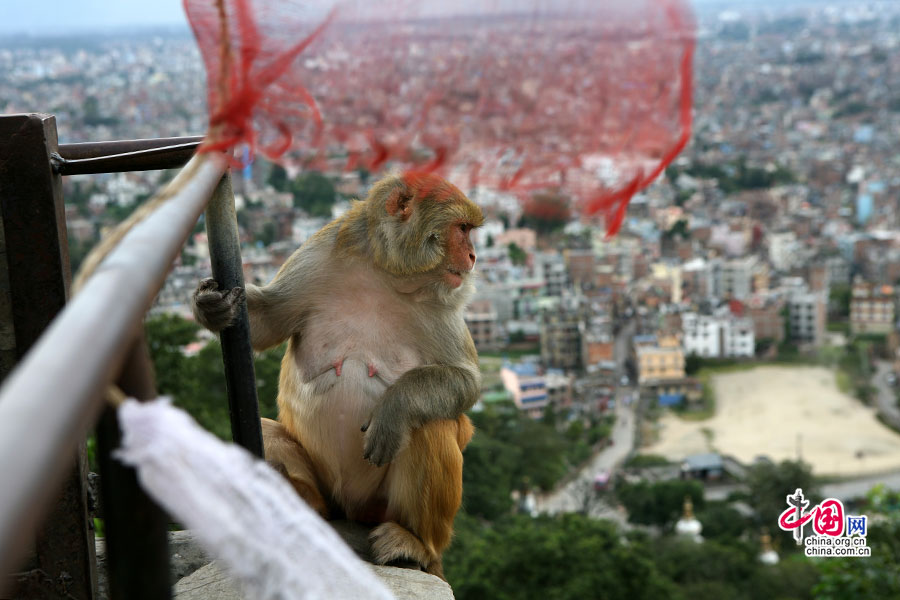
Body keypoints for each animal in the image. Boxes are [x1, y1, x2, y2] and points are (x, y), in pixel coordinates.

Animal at [192, 170, 486, 576]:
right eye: (462, 229)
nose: (472, 256)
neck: (387, 272)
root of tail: (350, 508)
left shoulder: (446, 299)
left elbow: (465, 381)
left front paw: (395, 408)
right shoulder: (320, 251)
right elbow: (268, 320)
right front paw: (209, 306)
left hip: (381, 505)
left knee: (431, 427)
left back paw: (414, 542)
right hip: (326, 485)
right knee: (264, 432)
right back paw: (300, 503)